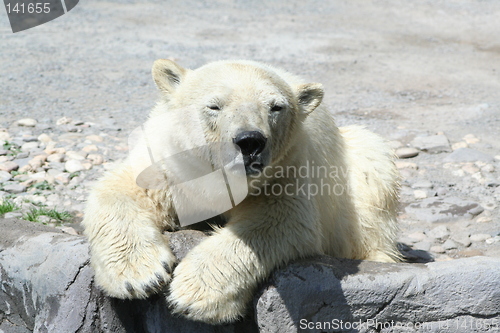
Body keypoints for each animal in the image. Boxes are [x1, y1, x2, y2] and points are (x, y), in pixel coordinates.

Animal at [84, 58, 400, 322]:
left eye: (276, 107)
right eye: (214, 106)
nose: (250, 141)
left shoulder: (287, 171)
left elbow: (279, 221)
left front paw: (192, 293)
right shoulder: (167, 164)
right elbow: (121, 191)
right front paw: (139, 275)